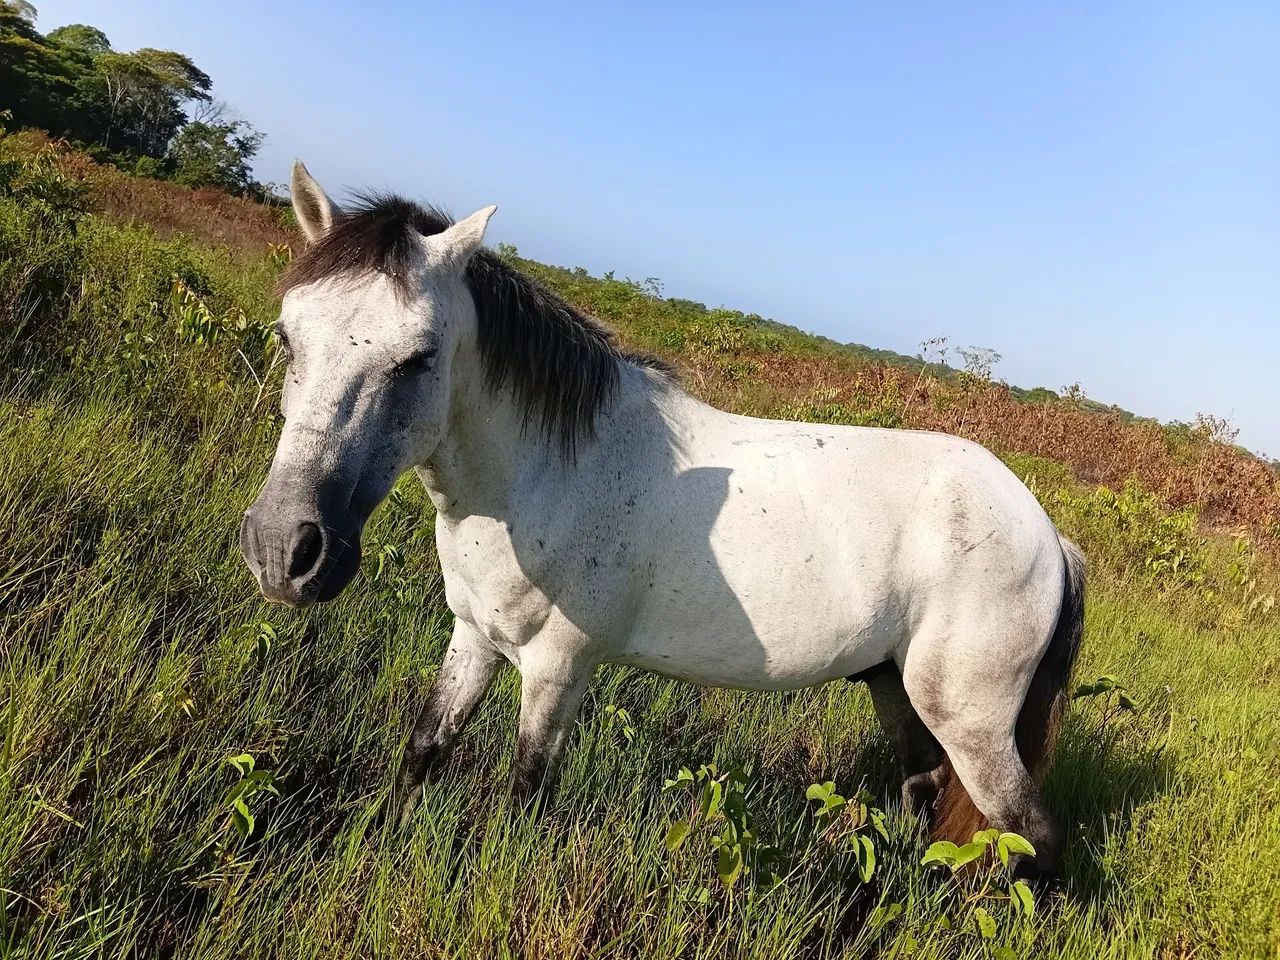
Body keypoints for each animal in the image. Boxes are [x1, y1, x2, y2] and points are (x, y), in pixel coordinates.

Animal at [239, 161, 1086, 876]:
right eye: (286, 335)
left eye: (418, 357)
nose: (285, 551)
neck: (550, 474)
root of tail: (1050, 537)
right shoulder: (474, 637)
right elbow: (424, 748)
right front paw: (371, 845)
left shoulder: (558, 668)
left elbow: (524, 791)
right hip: (894, 686)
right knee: (921, 793)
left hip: (973, 721)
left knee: (1035, 838)